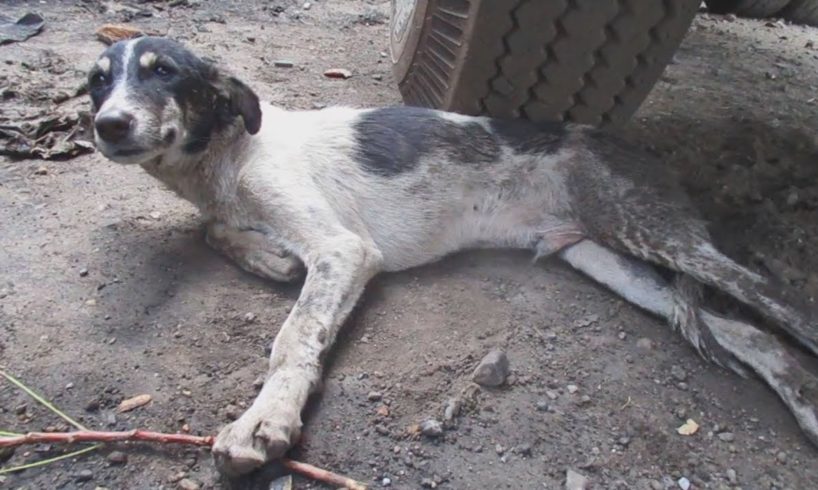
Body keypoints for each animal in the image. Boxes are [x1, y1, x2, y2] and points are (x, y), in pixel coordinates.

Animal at [87, 37, 816, 474]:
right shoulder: (256, 222)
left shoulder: (344, 249)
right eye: (96, 84)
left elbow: (294, 337)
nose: (107, 125)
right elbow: (213, 231)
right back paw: (802, 400)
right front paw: (267, 258)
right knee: (746, 331)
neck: (230, 156)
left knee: (780, 303)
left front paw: (266, 419)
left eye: (164, 73)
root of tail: (648, 153)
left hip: (650, 228)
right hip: (605, 254)